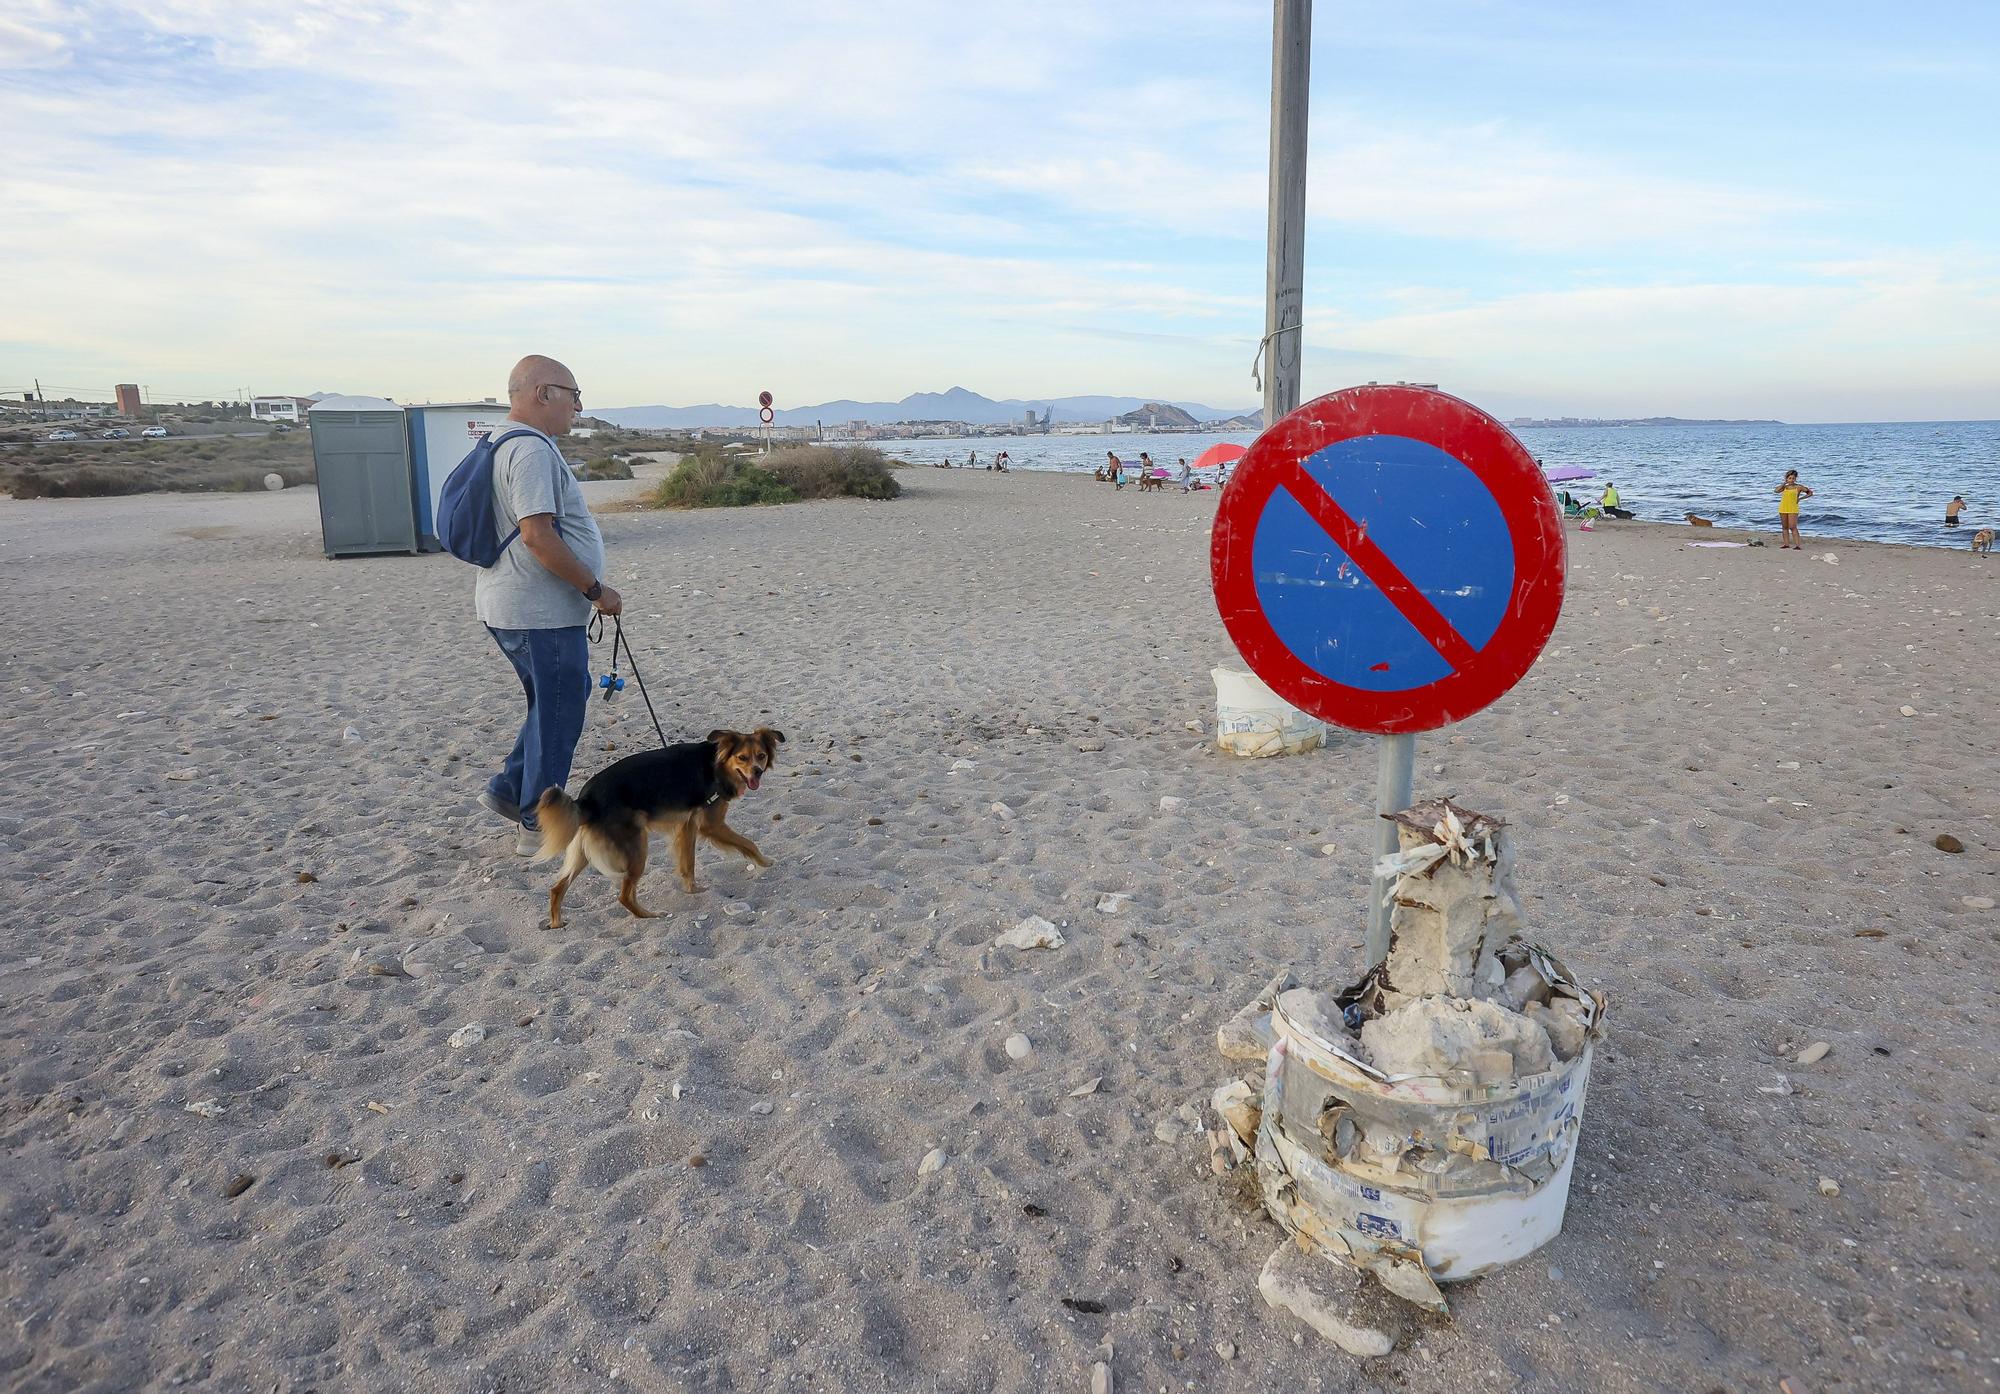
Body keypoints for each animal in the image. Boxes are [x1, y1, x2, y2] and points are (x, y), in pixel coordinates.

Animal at [536, 728, 784, 924]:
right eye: (742, 758)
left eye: (761, 756)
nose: (757, 771)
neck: (716, 766)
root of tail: (586, 799)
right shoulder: (711, 825)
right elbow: (748, 843)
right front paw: (765, 861)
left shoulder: (687, 826)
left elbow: (688, 864)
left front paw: (693, 890)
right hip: (637, 848)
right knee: (625, 896)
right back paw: (651, 916)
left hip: (582, 851)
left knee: (557, 888)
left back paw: (557, 924)